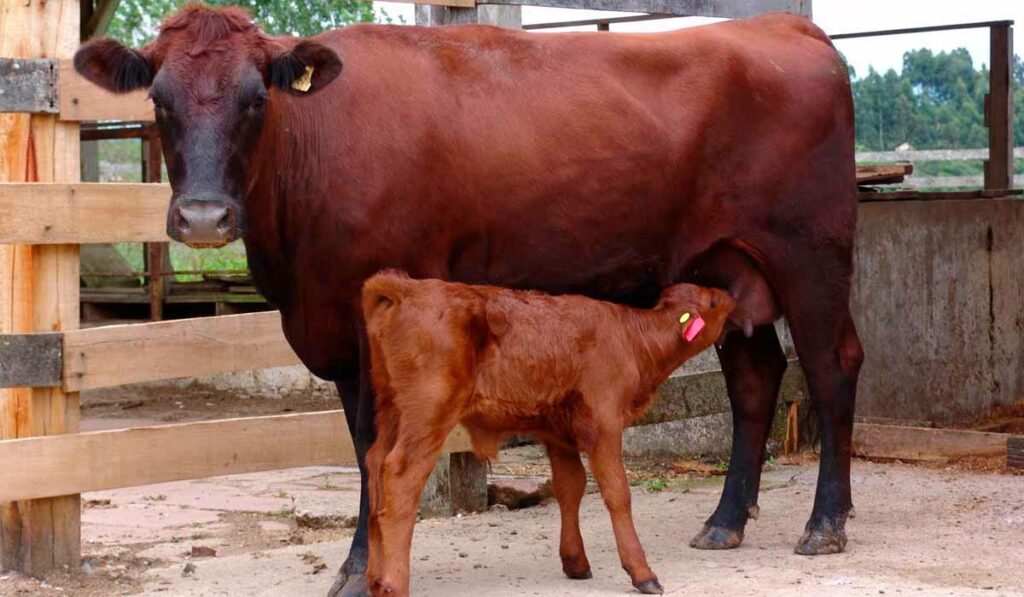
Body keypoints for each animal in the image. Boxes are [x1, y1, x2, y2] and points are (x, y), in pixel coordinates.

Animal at [75, 5, 864, 597]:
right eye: (159, 100)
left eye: (255, 99)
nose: (204, 217)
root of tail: (784, 26)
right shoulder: (337, 335)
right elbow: (362, 447)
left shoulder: (372, 326)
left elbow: (372, 446)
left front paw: (360, 567)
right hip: (729, 267)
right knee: (755, 379)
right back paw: (726, 519)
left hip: (812, 257)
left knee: (831, 367)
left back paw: (825, 524)